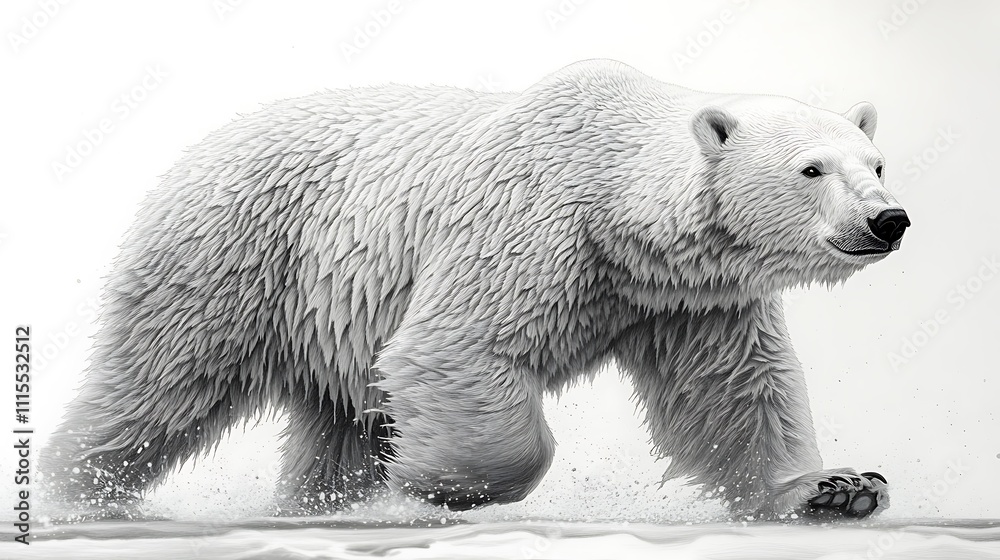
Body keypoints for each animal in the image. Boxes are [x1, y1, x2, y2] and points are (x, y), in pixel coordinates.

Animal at [39, 59, 906, 521]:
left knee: (338, 422)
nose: (888, 219)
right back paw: (80, 491)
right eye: (811, 169)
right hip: (236, 255)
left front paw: (833, 489)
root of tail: (197, 148)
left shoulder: (688, 297)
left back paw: (324, 504)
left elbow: (732, 393)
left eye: (875, 160)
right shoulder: (530, 226)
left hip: (326, 308)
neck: (616, 207)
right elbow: (456, 347)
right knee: (159, 381)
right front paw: (435, 484)